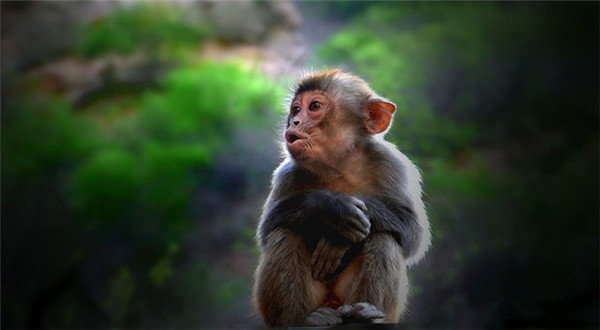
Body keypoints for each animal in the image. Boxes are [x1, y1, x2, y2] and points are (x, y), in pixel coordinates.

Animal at [251, 69, 428, 328]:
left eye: (314, 106)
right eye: (296, 109)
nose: (295, 122)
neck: (339, 165)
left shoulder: (393, 165)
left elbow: (414, 233)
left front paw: (337, 240)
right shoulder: (287, 174)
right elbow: (267, 228)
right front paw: (332, 209)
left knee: (385, 238)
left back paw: (365, 314)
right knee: (284, 233)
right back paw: (305, 320)